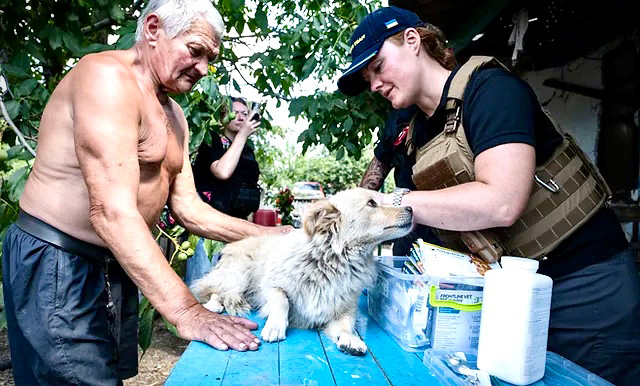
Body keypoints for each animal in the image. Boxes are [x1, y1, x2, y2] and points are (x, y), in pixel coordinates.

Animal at [190, 188, 412, 356]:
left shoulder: (344, 309)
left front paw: (350, 339)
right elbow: (282, 300)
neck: (331, 261)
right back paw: (214, 305)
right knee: (219, 289)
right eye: (372, 203)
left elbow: (346, 325)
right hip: (239, 274)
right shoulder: (271, 286)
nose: (410, 208)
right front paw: (275, 326)